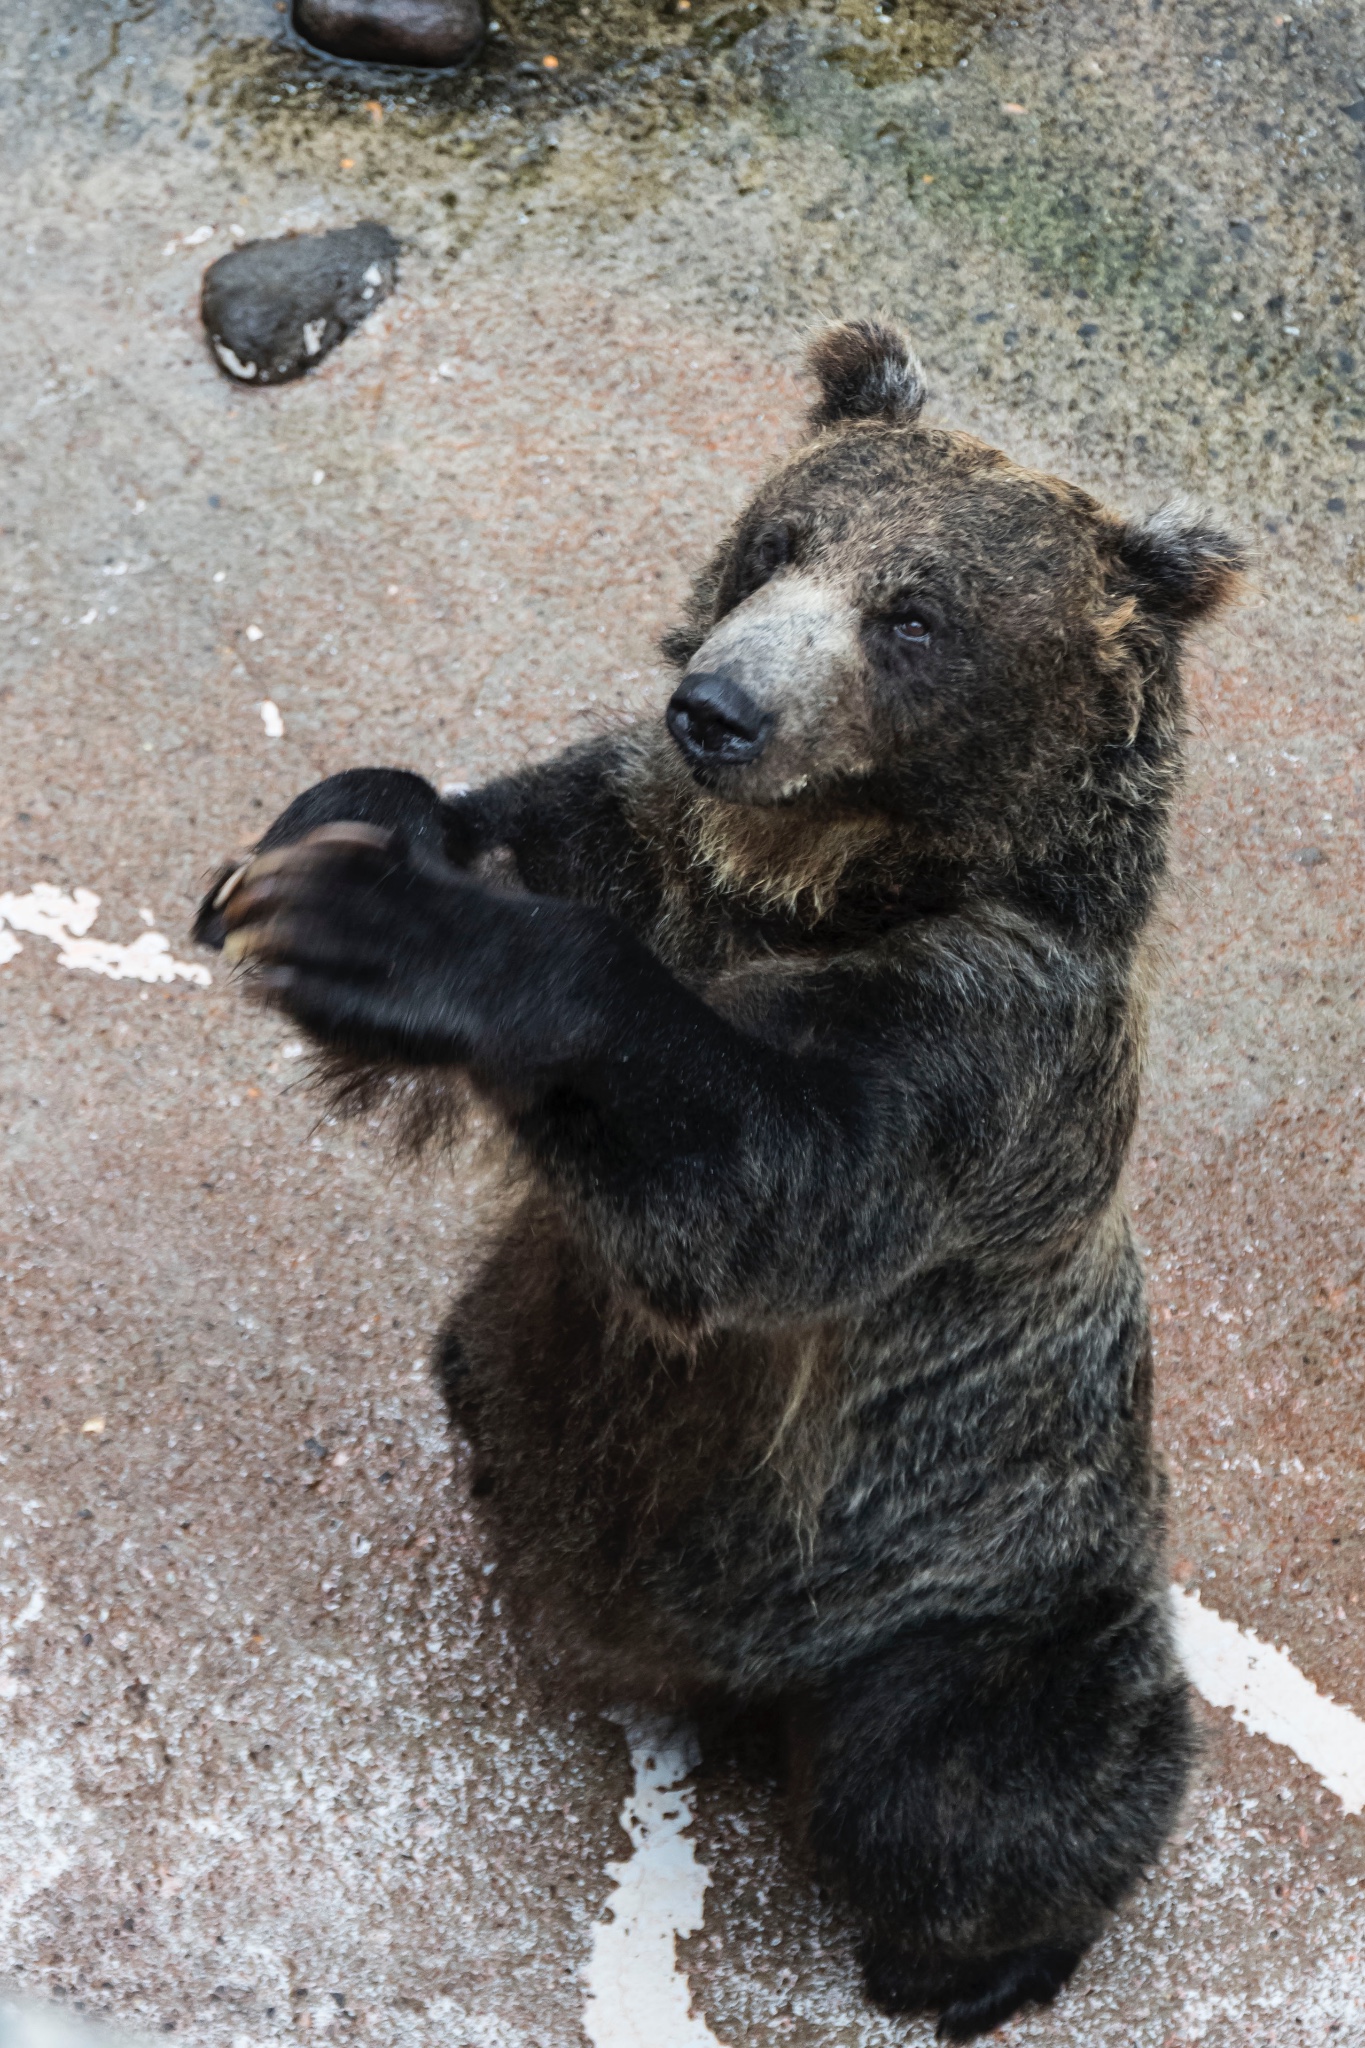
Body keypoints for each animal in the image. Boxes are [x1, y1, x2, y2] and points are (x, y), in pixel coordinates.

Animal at [197, 319, 1244, 2031]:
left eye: (914, 614)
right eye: (779, 541)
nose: (721, 707)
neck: (808, 879)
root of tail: (713, 1688)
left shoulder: (986, 1048)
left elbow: (769, 1172)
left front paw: (389, 932)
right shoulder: (636, 832)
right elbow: (492, 814)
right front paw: (313, 847)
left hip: (964, 1587)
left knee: (968, 1784)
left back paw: (982, 1963)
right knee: (476, 1363)